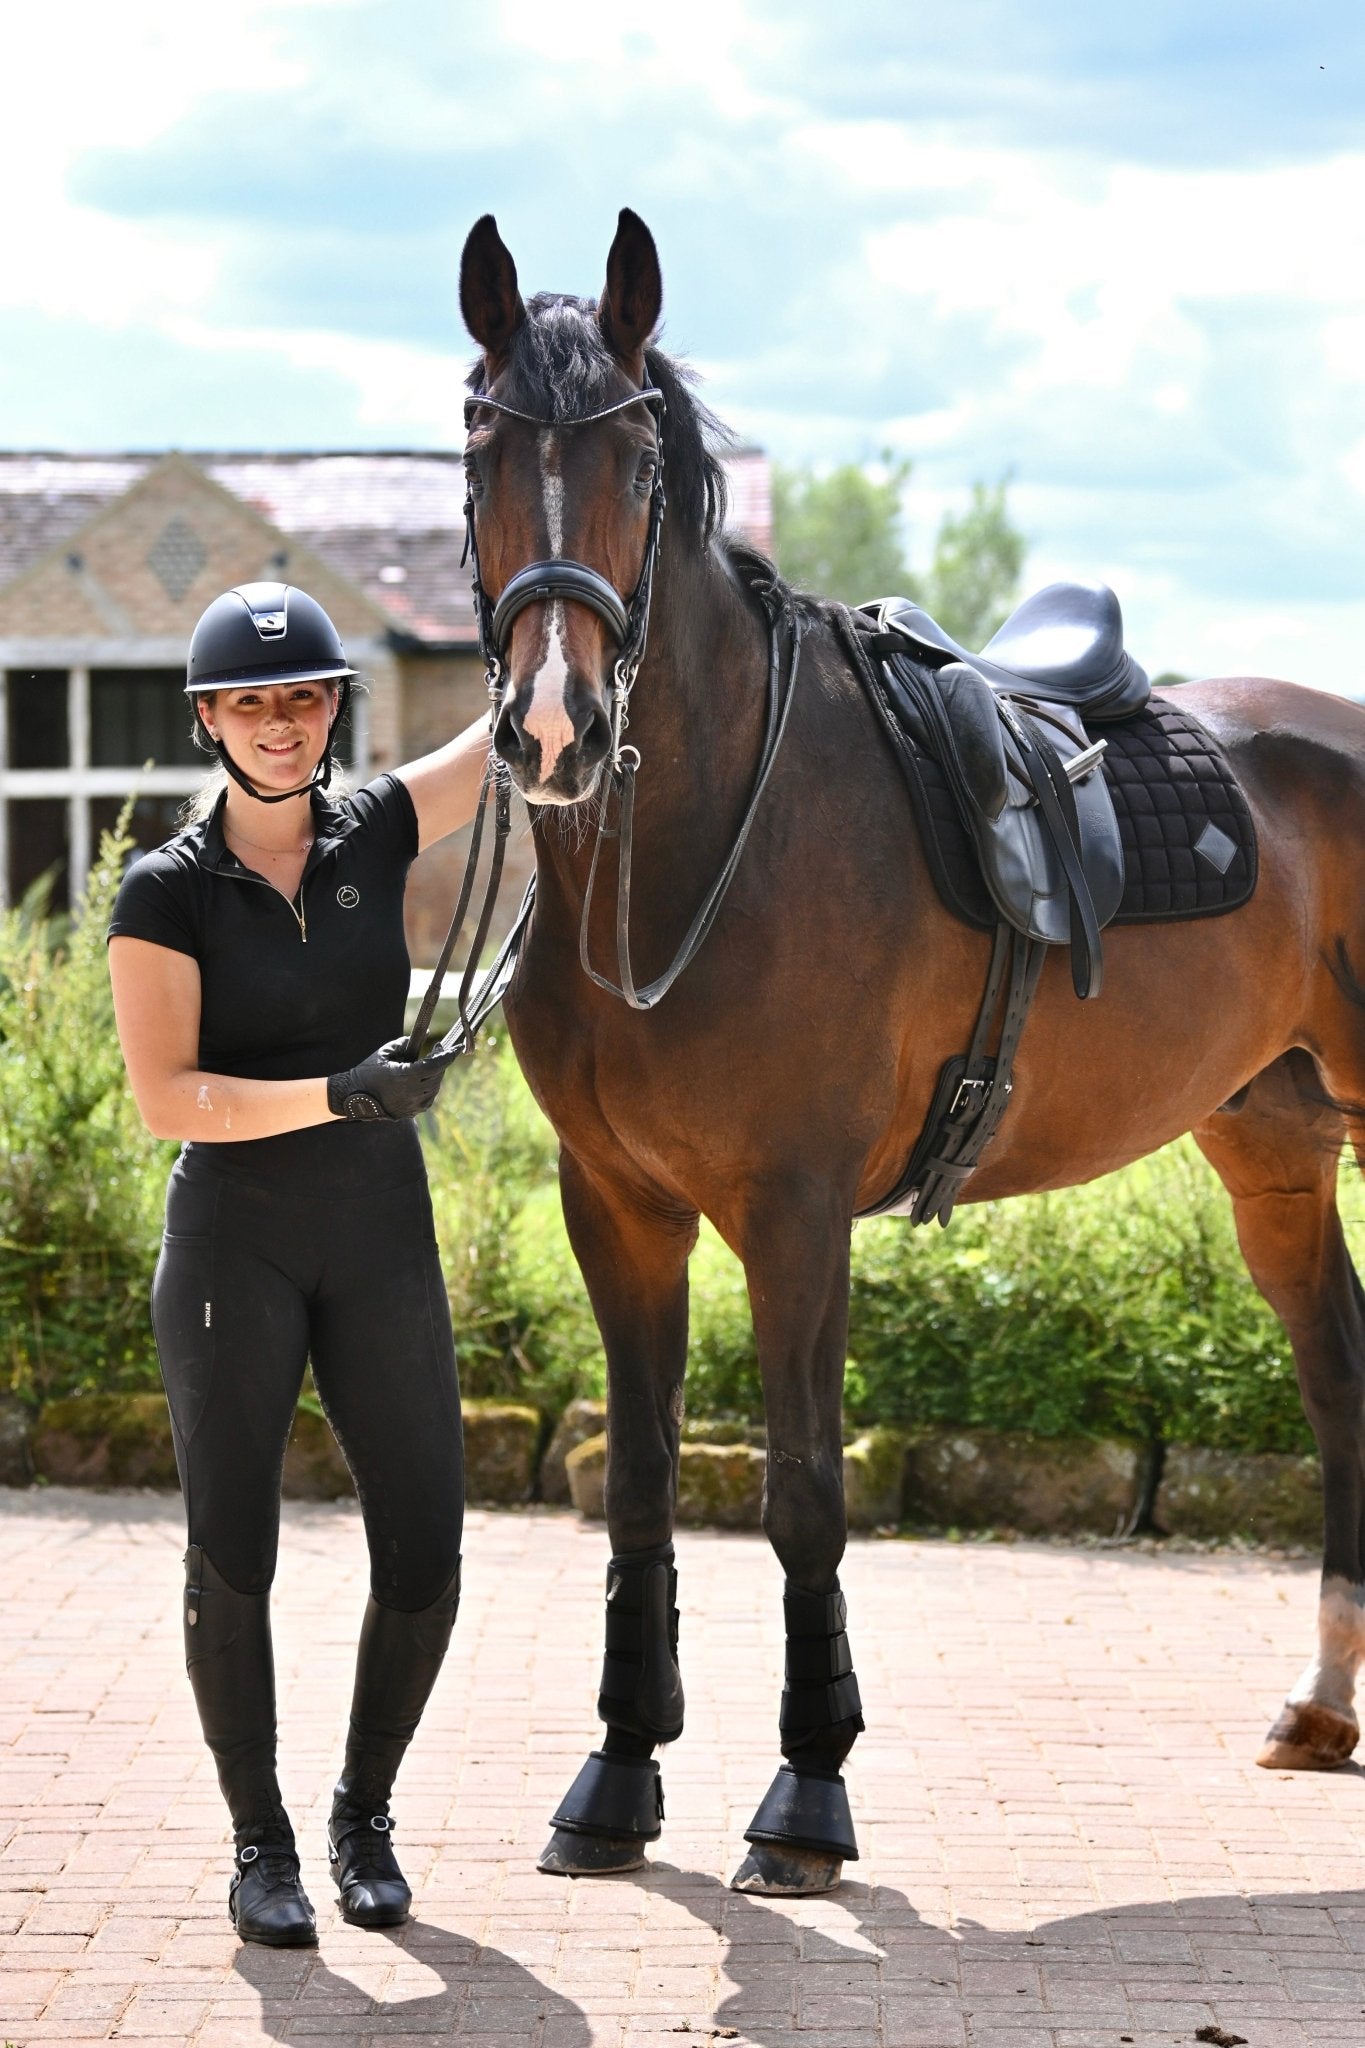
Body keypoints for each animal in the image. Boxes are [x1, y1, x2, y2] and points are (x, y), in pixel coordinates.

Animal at [458, 211, 1365, 1900]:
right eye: (480, 444)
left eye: (634, 457)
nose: (554, 727)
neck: (696, 852)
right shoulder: (614, 1205)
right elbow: (633, 1479)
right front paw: (615, 1778)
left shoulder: (796, 1212)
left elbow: (806, 1495)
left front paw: (806, 1795)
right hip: (1273, 1149)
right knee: (1336, 1374)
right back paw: (1321, 1704)